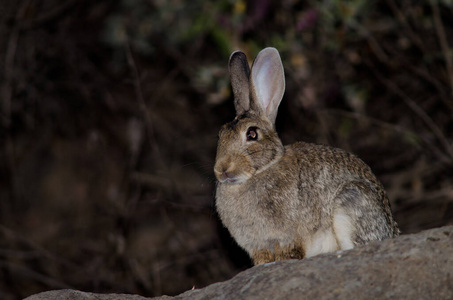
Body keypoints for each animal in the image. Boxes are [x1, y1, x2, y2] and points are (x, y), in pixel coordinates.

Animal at [214, 47, 398, 264]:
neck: (261, 171)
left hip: (351, 202)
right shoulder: (258, 246)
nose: (222, 169)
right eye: (220, 135)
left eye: (251, 134)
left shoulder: (287, 237)